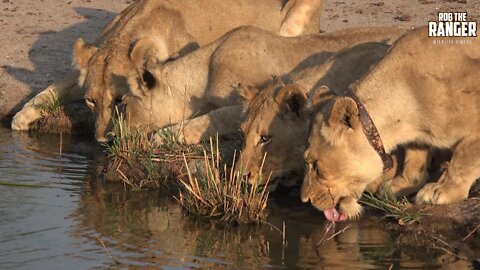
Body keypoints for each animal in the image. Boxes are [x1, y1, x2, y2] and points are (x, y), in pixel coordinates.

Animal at [11, 0, 324, 141]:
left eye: (120, 101)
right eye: (91, 100)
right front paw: (21, 117)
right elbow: (52, 88)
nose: (102, 139)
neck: (126, 36)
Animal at [302, 25, 478, 221]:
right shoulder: (418, 136)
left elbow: (463, 160)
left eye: (316, 166)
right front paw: (400, 185)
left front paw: (443, 190)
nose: (305, 200)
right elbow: (414, 158)